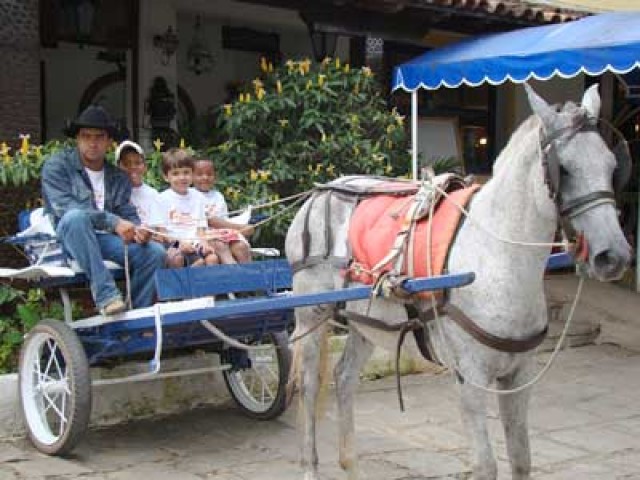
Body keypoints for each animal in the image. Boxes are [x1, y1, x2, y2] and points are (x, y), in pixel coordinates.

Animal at [284, 84, 632, 478]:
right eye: (566, 170)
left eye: (612, 167)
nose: (614, 256)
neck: (495, 256)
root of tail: (319, 193)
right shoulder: (471, 378)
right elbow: (485, 464)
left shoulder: (519, 376)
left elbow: (522, 459)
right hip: (311, 316)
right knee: (308, 387)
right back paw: (310, 465)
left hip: (365, 321)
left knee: (344, 378)